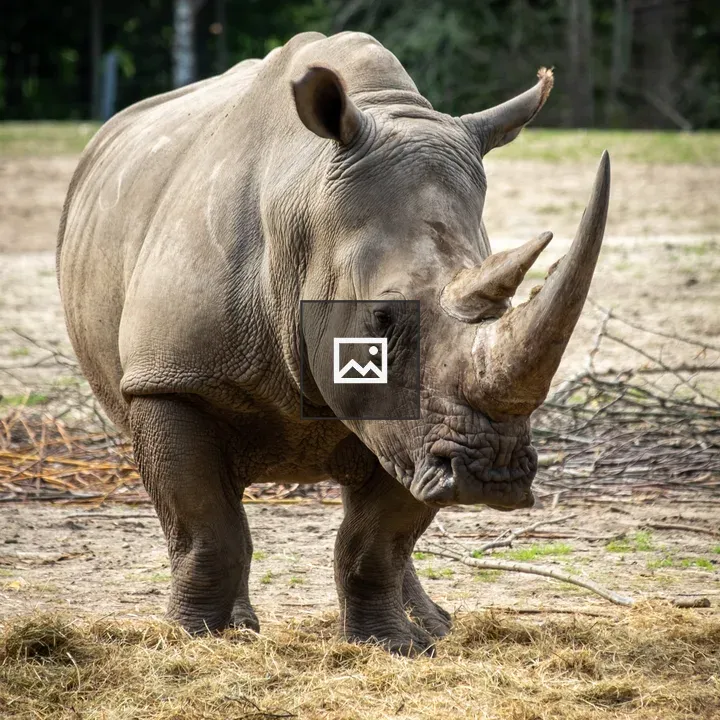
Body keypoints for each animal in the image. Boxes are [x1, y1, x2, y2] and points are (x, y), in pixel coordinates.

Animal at [57, 31, 610, 655]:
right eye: (383, 317)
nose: (492, 472)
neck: (303, 213)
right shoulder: (170, 380)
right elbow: (207, 531)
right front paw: (192, 640)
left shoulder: (412, 422)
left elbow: (377, 543)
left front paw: (391, 647)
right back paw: (241, 628)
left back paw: (431, 627)